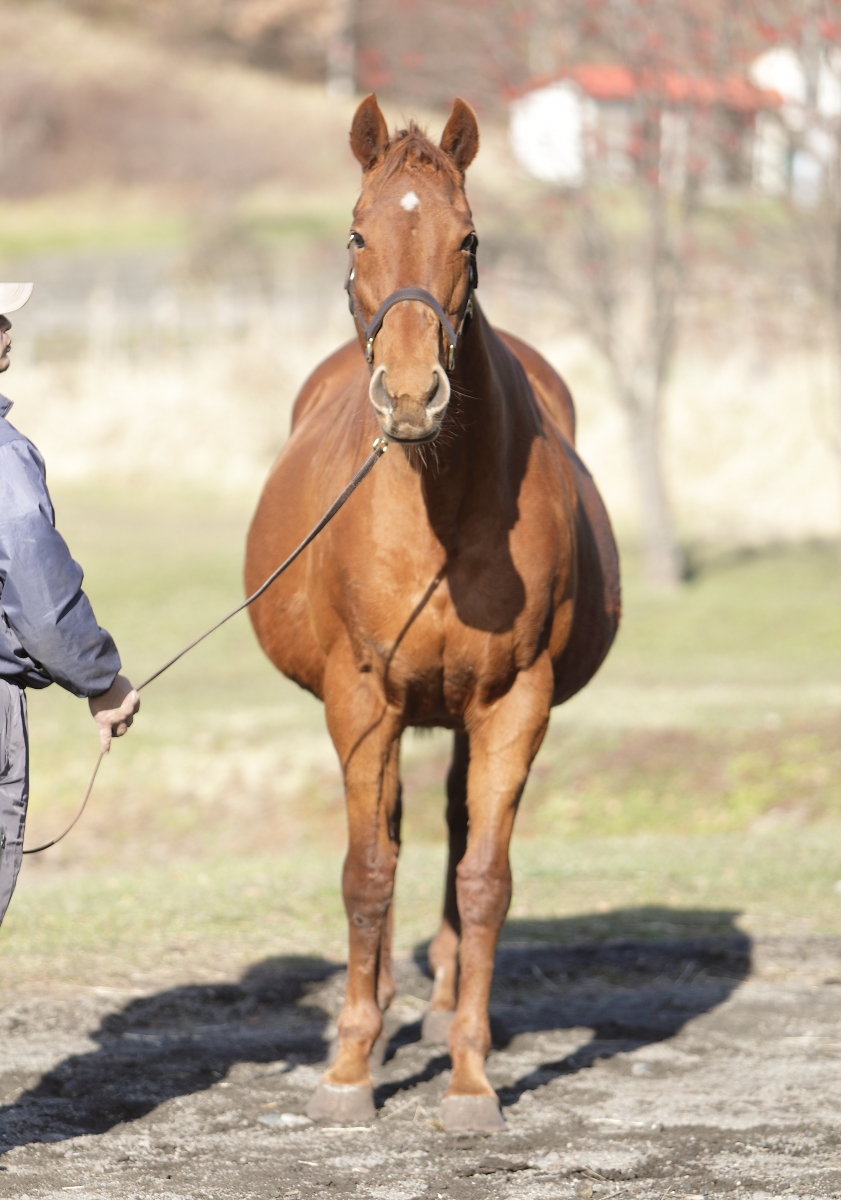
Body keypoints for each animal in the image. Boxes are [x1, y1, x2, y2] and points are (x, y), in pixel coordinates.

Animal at [245, 96, 619, 1132]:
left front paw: (469, 1079)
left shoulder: (514, 701)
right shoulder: (360, 697)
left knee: (454, 834)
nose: (412, 397)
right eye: (356, 232)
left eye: (469, 238)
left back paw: (450, 1006)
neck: (438, 507)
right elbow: (366, 875)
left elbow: (484, 881)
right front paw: (347, 1070)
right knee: (395, 833)